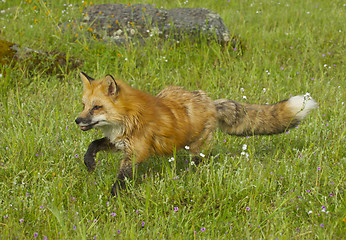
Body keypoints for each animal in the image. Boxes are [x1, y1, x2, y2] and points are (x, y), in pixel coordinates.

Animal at [76, 72, 318, 196]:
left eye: (97, 107)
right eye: (84, 106)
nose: (77, 120)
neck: (128, 117)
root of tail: (210, 101)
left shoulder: (136, 152)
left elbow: (120, 180)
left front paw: (112, 200)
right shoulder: (118, 142)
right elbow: (94, 143)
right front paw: (89, 162)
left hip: (197, 148)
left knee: (199, 162)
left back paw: (189, 176)